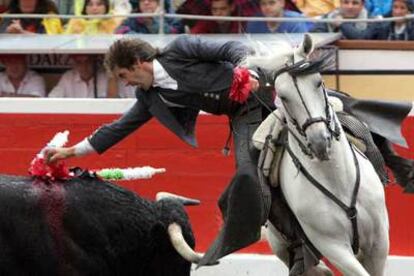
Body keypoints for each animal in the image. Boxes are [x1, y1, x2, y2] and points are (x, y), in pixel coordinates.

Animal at [244, 35, 390, 276]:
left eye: (319, 82)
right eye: (283, 96)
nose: (320, 142)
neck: (337, 180)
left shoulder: (378, 243)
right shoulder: (333, 246)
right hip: (282, 244)